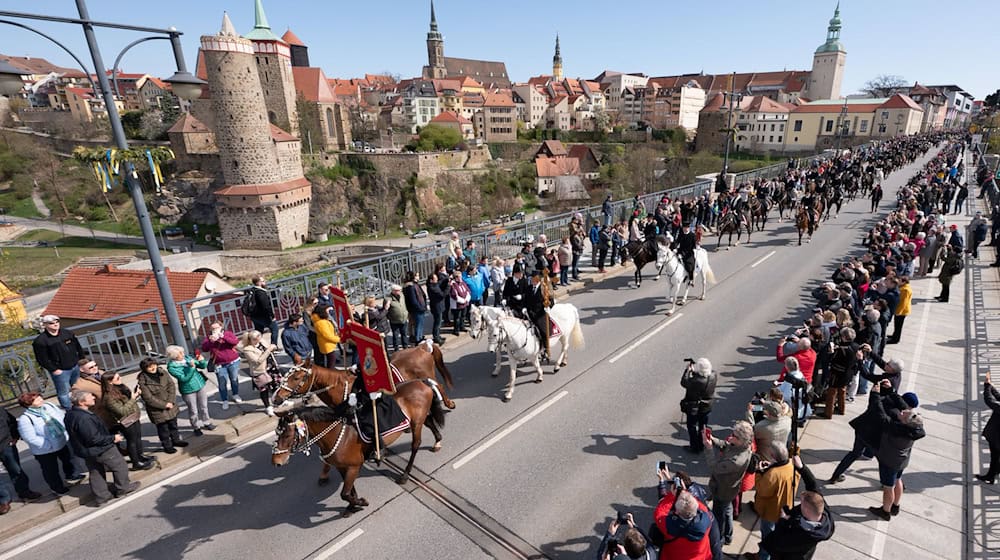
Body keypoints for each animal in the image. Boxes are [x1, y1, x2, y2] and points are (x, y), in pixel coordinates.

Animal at [272, 364, 448, 490]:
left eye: (296, 377)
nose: (275, 398)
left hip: (416, 422)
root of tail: (421, 382)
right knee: (429, 423)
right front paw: (324, 475)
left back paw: (404, 475)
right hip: (417, 419)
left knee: (415, 444)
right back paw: (438, 441)